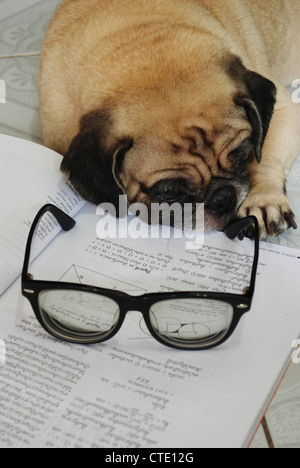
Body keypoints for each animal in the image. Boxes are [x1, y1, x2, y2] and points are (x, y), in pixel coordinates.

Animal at [39, 0, 300, 239]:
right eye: (169, 191)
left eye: (244, 155)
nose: (224, 197)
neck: (140, 45)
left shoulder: (284, 110)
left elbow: (265, 159)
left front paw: (263, 198)